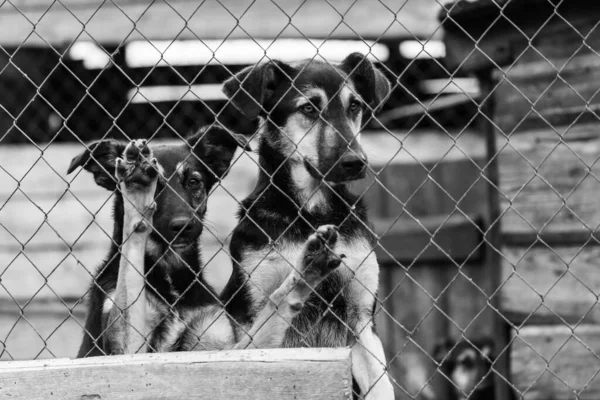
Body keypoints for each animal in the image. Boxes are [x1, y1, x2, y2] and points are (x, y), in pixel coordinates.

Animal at [69, 127, 342, 356]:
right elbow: (130, 267)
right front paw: (138, 190)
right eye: (158, 187)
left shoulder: (220, 345)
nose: (183, 226)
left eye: (194, 182)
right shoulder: (127, 347)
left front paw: (305, 271)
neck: (173, 279)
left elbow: (275, 307)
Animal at [220, 54, 394, 400]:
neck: (309, 212)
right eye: (309, 108)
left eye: (355, 106)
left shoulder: (362, 322)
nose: (355, 162)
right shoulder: (250, 320)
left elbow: (382, 387)